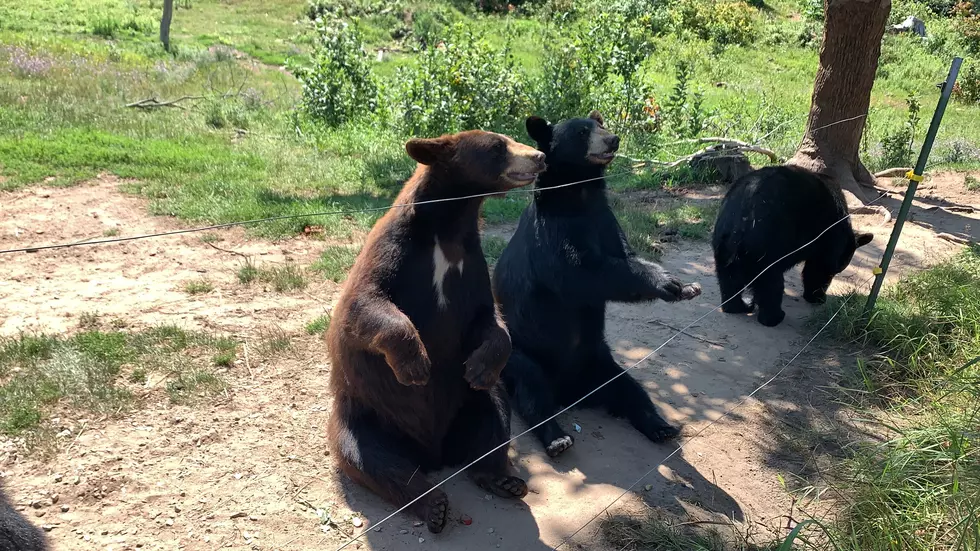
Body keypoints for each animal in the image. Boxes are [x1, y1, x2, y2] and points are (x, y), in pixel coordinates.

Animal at [328, 129, 544, 536]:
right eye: (497, 146)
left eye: (510, 139)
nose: (539, 157)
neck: (448, 227)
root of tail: (435, 454)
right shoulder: (396, 250)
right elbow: (363, 303)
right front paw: (415, 365)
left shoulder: (471, 262)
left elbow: (488, 317)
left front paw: (480, 365)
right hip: (363, 418)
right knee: (370, 458)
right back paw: (432, 504)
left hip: (471, 403)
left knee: (494, 418)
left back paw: (501, 478)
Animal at [494, 111, 700, 458]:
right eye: (581, 132)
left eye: (601, 126)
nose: (613, 140)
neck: (581, 194)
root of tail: (572, 392)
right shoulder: (553, 232)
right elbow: (582, 272)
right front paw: (667, 281)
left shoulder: (604, 219)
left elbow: (623, 256)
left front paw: (687, 288)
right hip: (522, 353)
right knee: (532, 391)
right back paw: (557, 437)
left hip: (599, 360)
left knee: (629, 388)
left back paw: (662, 426)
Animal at [712, 164, 872, 328]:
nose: (839, 268)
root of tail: (742, 221)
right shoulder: (827, 234)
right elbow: (818, 268)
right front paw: (817, 296)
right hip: (767, 245)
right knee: (771, 282)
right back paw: (773, 317)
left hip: (724, 244)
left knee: (728, 277)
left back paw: (737, 307)